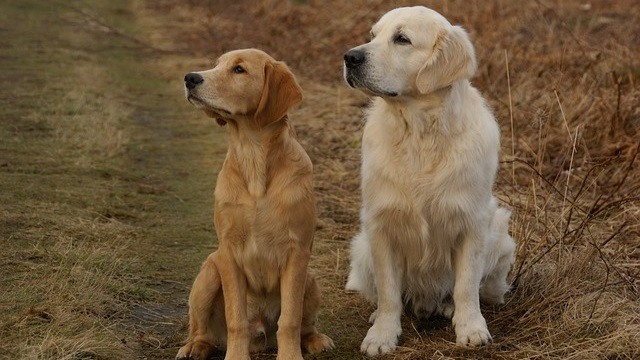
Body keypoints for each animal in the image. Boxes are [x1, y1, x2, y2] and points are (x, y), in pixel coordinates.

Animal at [175, 50, 336, 360]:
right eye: (216, 65)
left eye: (239, 69)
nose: (190, 78)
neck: (253, 156)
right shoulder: (228, 252)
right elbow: (235, 318)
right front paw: (236, 356)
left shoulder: (297, 252)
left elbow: (290, 319)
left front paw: (290, 356)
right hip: (209, 273)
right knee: (202, 329)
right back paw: (195, 346)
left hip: (310, 280)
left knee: (303, 325)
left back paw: (315, 340)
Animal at [344, 6, 516, 358]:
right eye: (373, 35)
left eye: (402, 39)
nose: (349, 57)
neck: (420, 134)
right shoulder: (381, 224)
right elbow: (389, 293)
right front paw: (382, 334)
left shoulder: (472, 223)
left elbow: (466, 286)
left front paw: (471, 328)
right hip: (362, 248)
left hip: (500, 237)